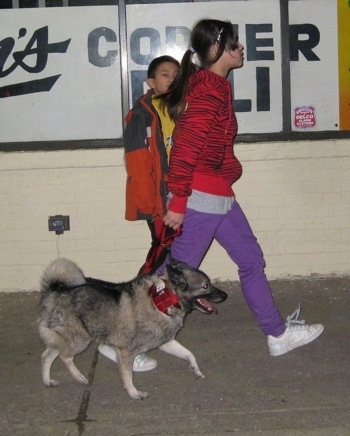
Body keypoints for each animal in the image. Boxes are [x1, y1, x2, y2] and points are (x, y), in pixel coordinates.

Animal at [38, 258, 227, 400]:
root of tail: (56, 291)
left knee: (47, 356)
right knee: (65, 357)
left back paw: (47, 381)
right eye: (205, 286)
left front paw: (196, 369)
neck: (161, 300)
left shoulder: (166, 342)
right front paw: (134, 393)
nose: (225, 295)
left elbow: (189, 354)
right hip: (79, 340)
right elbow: (128, 376)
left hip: (68, 339)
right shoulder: (126, 353)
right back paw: (79, 377)